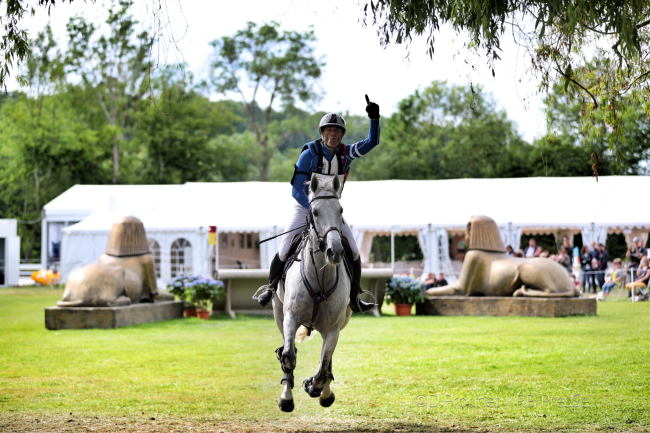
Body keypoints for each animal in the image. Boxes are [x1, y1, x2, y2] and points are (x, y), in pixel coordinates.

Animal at [270, 173, 350, 412]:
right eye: (314, 212)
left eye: (340, 210)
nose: (335, 251)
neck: (320, 279)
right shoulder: (290, 316)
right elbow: (289, 356)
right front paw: (286, 398)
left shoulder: (333, 328)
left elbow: (323, 367)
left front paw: (314, 386)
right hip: (278, 311)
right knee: (288, 350)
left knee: (327, 361)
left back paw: (324, 393)